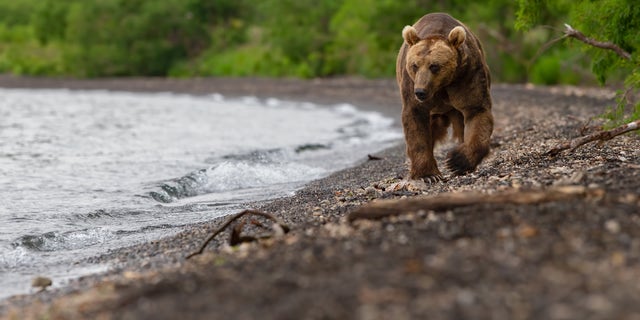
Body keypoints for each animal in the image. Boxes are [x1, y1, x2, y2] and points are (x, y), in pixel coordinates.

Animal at [396, 12, 496, 181]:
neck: (442, 86)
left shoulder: (467, 76)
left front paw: (456, 161)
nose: (420, 92)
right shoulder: (410, 85)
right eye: (414, 65)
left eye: (434, 66)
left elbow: (477, 111)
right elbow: (415, 119)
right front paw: (428, 175)